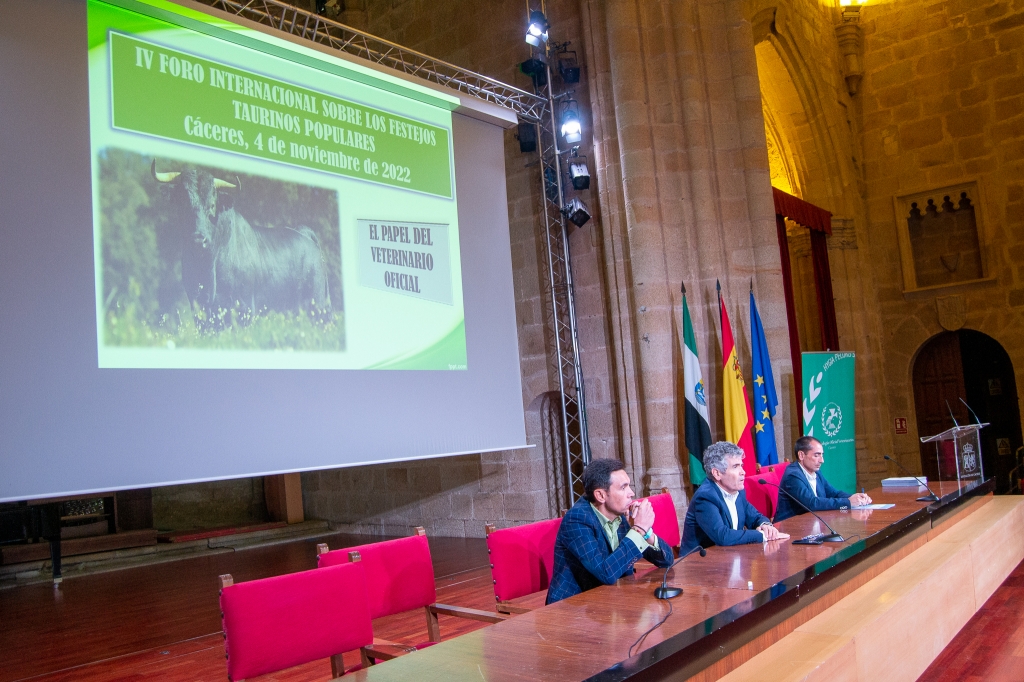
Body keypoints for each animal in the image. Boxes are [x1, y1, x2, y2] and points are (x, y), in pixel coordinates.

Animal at [151, 159, 331, 329]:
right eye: (183, 203)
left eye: (212, 205)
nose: (198, 239)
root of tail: (304, 234)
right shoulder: (198, 308)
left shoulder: (244, 308)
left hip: (316, 305)